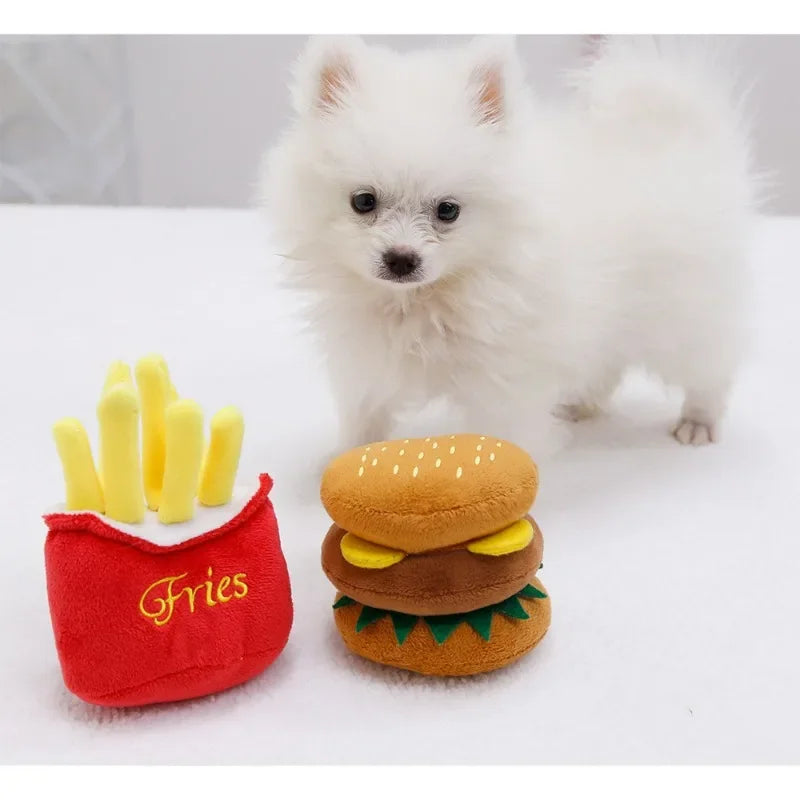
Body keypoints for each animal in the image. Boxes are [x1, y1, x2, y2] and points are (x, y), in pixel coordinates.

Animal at [262, 36, 756, 462]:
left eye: (448, 211)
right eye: (363, 202)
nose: (401, 258)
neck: (424, 300)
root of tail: (681, 140)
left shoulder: (505, 383)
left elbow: (503, 441)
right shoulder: (366, 361)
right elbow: (363, 418)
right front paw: (346, 462)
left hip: (686, 318)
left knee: (710, 369)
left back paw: (698, 422)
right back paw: (580, 403)